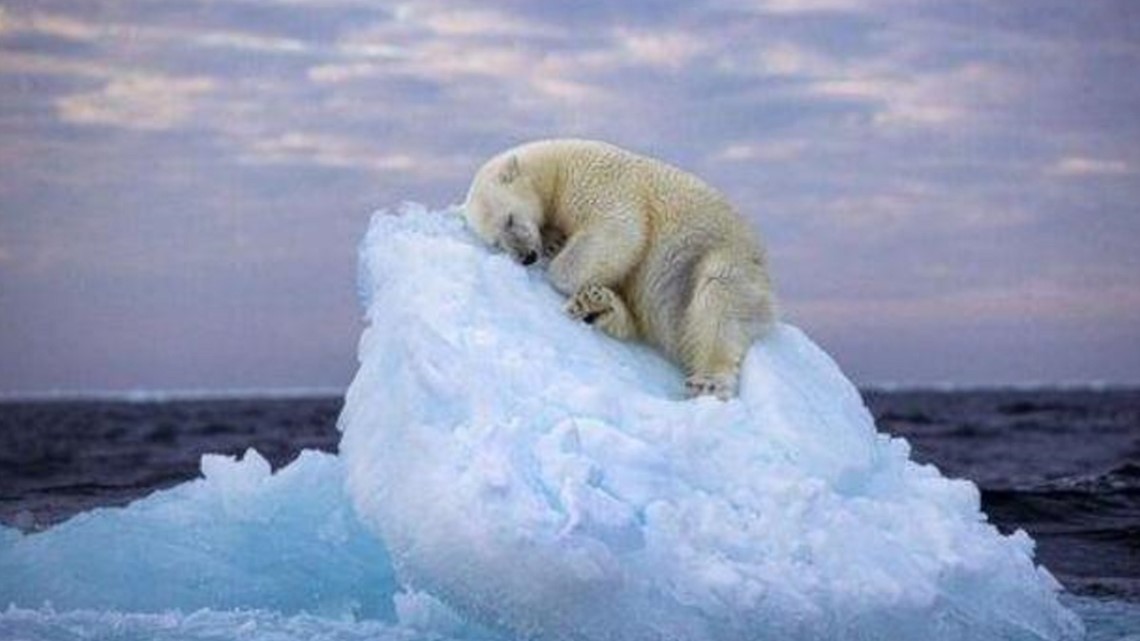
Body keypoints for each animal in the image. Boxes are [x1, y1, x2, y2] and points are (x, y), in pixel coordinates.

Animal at [463, 139, 776, 399]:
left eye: (510, 219)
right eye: (496, 242)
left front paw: (558, 264)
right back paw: (597, 305)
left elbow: (620, 230)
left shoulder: (597, 182)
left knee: (719, 299)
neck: (556, 166)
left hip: (725, 257)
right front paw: (554, 244)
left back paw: (708, 381)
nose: (526, 256)